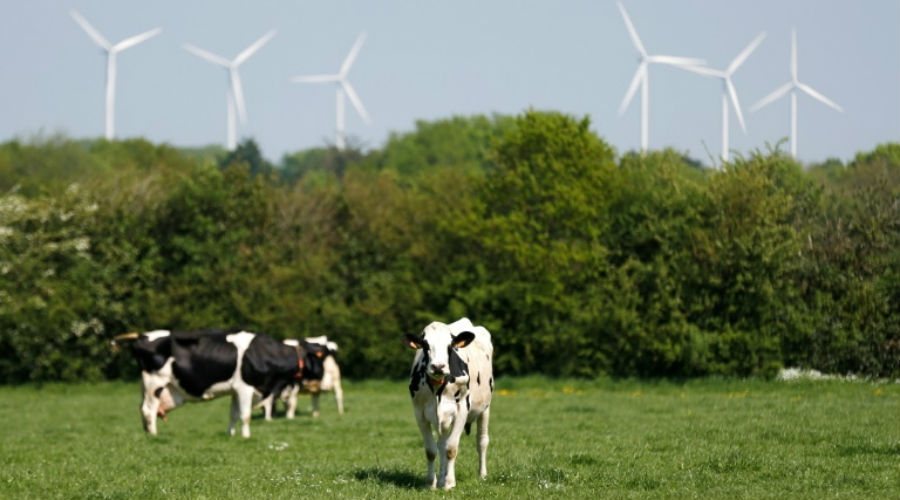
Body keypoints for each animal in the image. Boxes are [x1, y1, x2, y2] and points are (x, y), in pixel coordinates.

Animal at [114, 330, 304, 436]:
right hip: (155, 383)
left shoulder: (235, 390)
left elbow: (233, 414)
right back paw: (154, 436)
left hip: (148, 387)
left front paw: (231, 435)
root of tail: (142, 335)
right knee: (148, 410)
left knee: (143, 409)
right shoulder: (245, 388)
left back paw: (147, 433)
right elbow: (245, 415)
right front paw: (246, 436)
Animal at [404, 318, 496, 490]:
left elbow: (451, 449)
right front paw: (431, 483)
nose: (438, 366)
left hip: (485, 408)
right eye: (425, 345)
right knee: (441, 444)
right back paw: (440, 478)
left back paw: (482, 475)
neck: (437, 389)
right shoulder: (419, 412)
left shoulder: (462, 410)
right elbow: (431, 450)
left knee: (482, 441)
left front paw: (449, 483)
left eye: (450, 346)